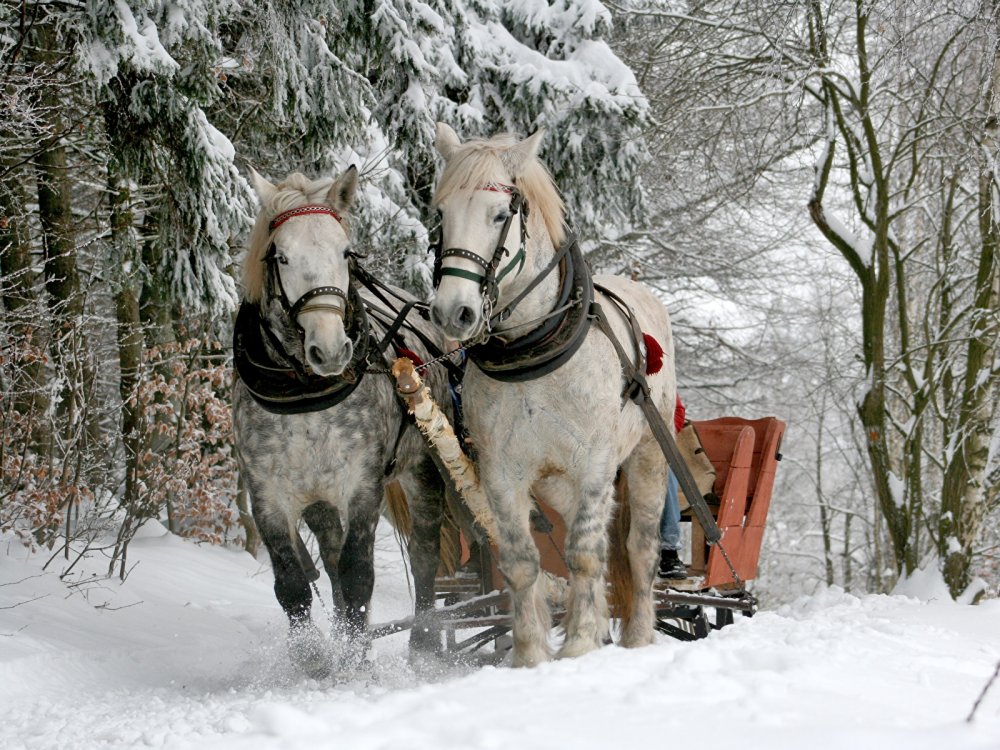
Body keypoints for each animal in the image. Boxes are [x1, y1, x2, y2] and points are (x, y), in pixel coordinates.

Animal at [426, 125, 676, 668]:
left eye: (500, 215)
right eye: (441, 214)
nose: (453, 312)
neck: (533, 349)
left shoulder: (596, 464)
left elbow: (584, 553)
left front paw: (580, 643)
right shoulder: (502, 472)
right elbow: (523, 561)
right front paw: (530, 654)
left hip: (647, 455)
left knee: (638, 546)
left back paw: (638, 635)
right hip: (557, 481)